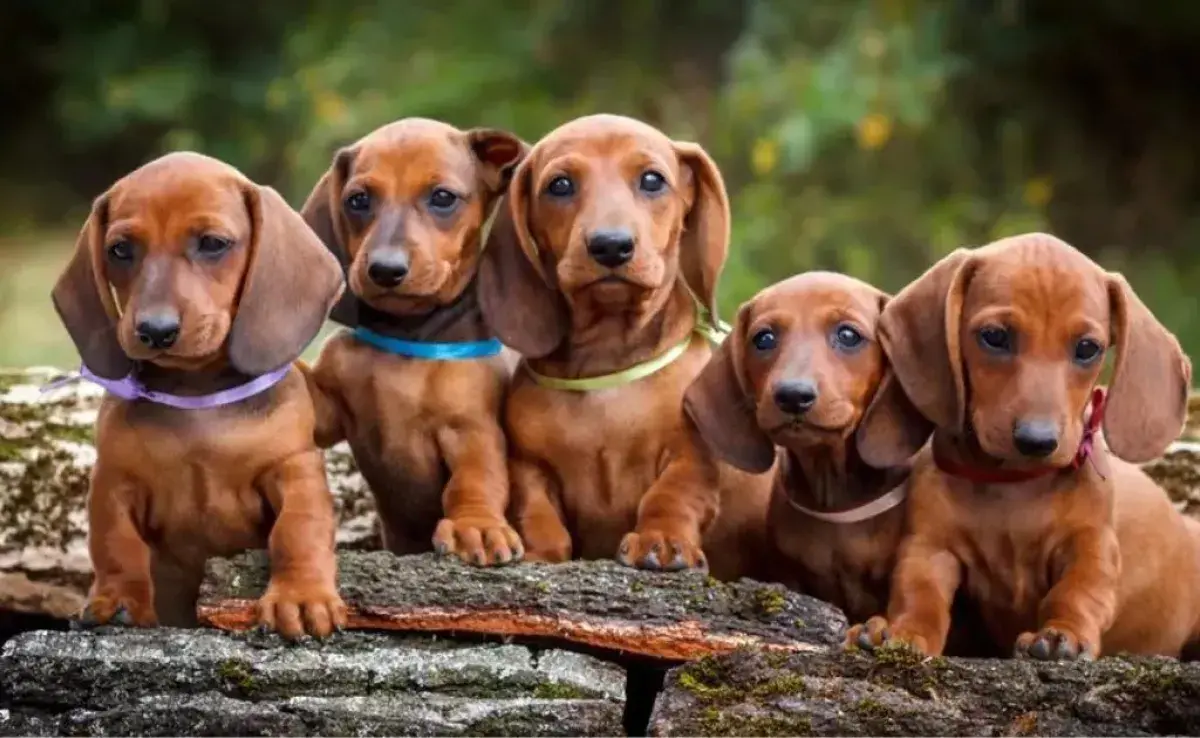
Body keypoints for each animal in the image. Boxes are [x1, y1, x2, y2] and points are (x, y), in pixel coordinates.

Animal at [54, 148, 350, 633]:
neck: (197, 398)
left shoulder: (294, 469)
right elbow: (116, 545)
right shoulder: (114, 481)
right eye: (120, 249)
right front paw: (117, 598)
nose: (155, 330)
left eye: (213, 243)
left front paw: (301, 595)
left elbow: (298, 530)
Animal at [475, 112, 768, 580]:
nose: (611, 245)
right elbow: (538, 514)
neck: (606, 365)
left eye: (652, 180)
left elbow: (671, 497)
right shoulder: (529, 467)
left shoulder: (690, 455)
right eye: (559, 185)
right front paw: (541, 553)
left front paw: (661, 541)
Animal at [854, 234, 1200, 662]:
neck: (1013, 486)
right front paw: (903, 632)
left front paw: (1060, 634)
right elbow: (919, 594)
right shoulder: (929, 548)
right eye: (995, 336)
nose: (1037, 440)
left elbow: (1076, 593)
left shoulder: (1092, 547)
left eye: (1087, 348)